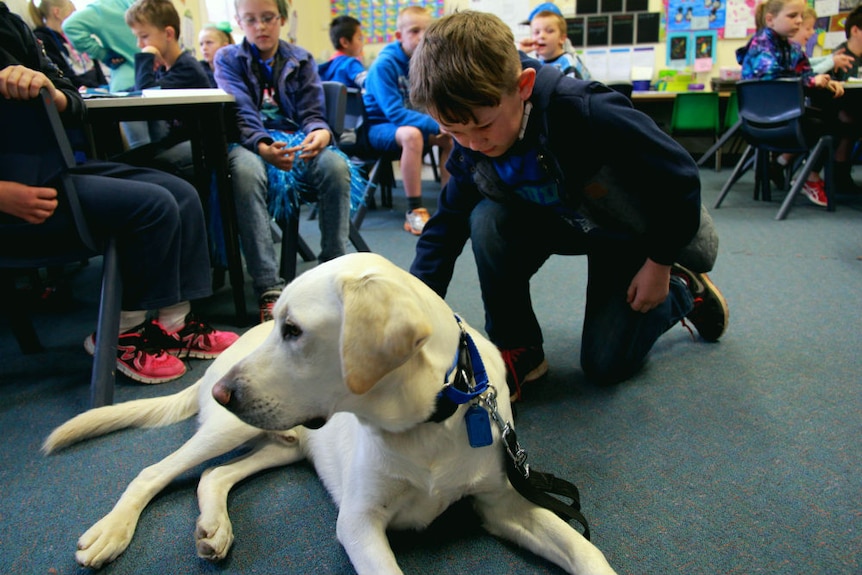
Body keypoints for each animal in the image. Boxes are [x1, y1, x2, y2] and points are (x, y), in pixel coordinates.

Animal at [44, 254, 616, 572]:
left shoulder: (503, 505)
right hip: (228, 429)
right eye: (279, 323)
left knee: (214, 476)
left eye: (294, 330)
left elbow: (587, 552)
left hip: (283, 443)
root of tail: (220, 366)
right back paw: (111, 533)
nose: (226, 391)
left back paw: (214, 528)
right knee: (154, 472)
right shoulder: (359, 523)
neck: (427, 420)